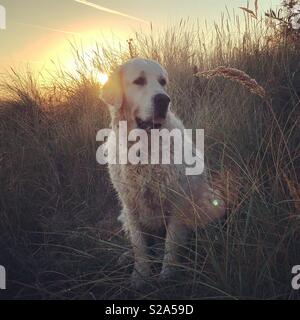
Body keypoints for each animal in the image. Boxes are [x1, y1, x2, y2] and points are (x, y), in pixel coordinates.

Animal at [101, 58, 225, 290]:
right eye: (139, 81)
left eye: (162, 82)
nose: (164, 100)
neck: (144, 148)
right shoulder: (130, 203)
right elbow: (139, 245)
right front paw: (140, 275)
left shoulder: (177, 201)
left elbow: (171, 242)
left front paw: (168, 274)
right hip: (124, 214)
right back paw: (126, 256)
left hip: (213, 201)